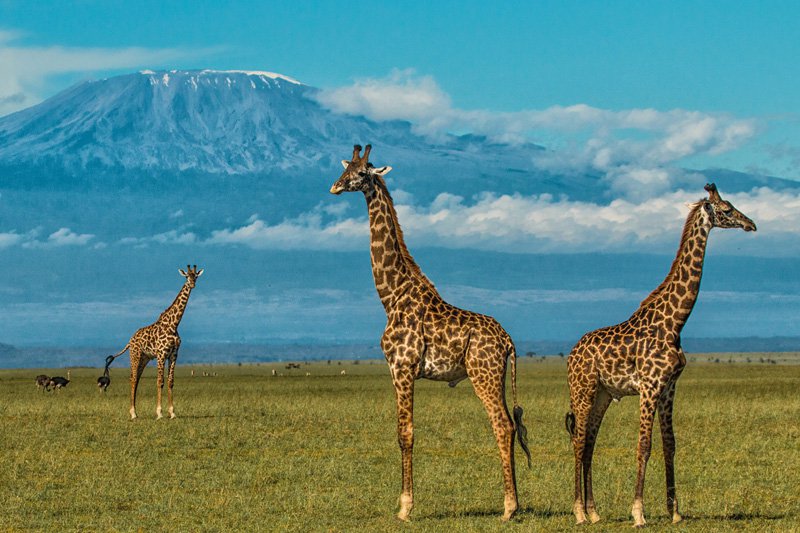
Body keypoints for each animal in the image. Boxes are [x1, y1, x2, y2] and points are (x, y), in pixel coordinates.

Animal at [104, 266, 203, 420]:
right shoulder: (161, 354)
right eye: (187, 276)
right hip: (135, 355)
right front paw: (159, 413)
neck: (174, 324)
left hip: (144, 358)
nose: (192, 284)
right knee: (133, 378)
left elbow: (170, 381)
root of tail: (130, 341)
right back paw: (133, 413)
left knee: (137, 379)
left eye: (196, 276)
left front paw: (172, 413)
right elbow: (160, 381)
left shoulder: (174, 354)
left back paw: (135, 412)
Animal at [330, 144, 532, 520]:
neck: (391, 296)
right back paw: (514, 503)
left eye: (362, 173)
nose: (335, 186)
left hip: (483, 375)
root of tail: (509, 341)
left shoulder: (402, 367)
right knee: (510, 425)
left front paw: (405, 507)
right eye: (345, 167)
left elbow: (405, 433)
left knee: (502, 424)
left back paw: (509, 508)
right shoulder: (400, 369)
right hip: (495, 376)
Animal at [564, 185, 756, 524]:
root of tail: (572, 354)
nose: (751, 224)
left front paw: (675, 512)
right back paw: (579, 513)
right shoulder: (650, 386)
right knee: (578, 442)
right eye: (727, 209)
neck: (675, 321)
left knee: (589, 443)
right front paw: (638, 513)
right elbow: (644, 444)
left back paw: (595, 512)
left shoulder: (669, 387)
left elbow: (670, 444)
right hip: (583, 390)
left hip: (602, 394)